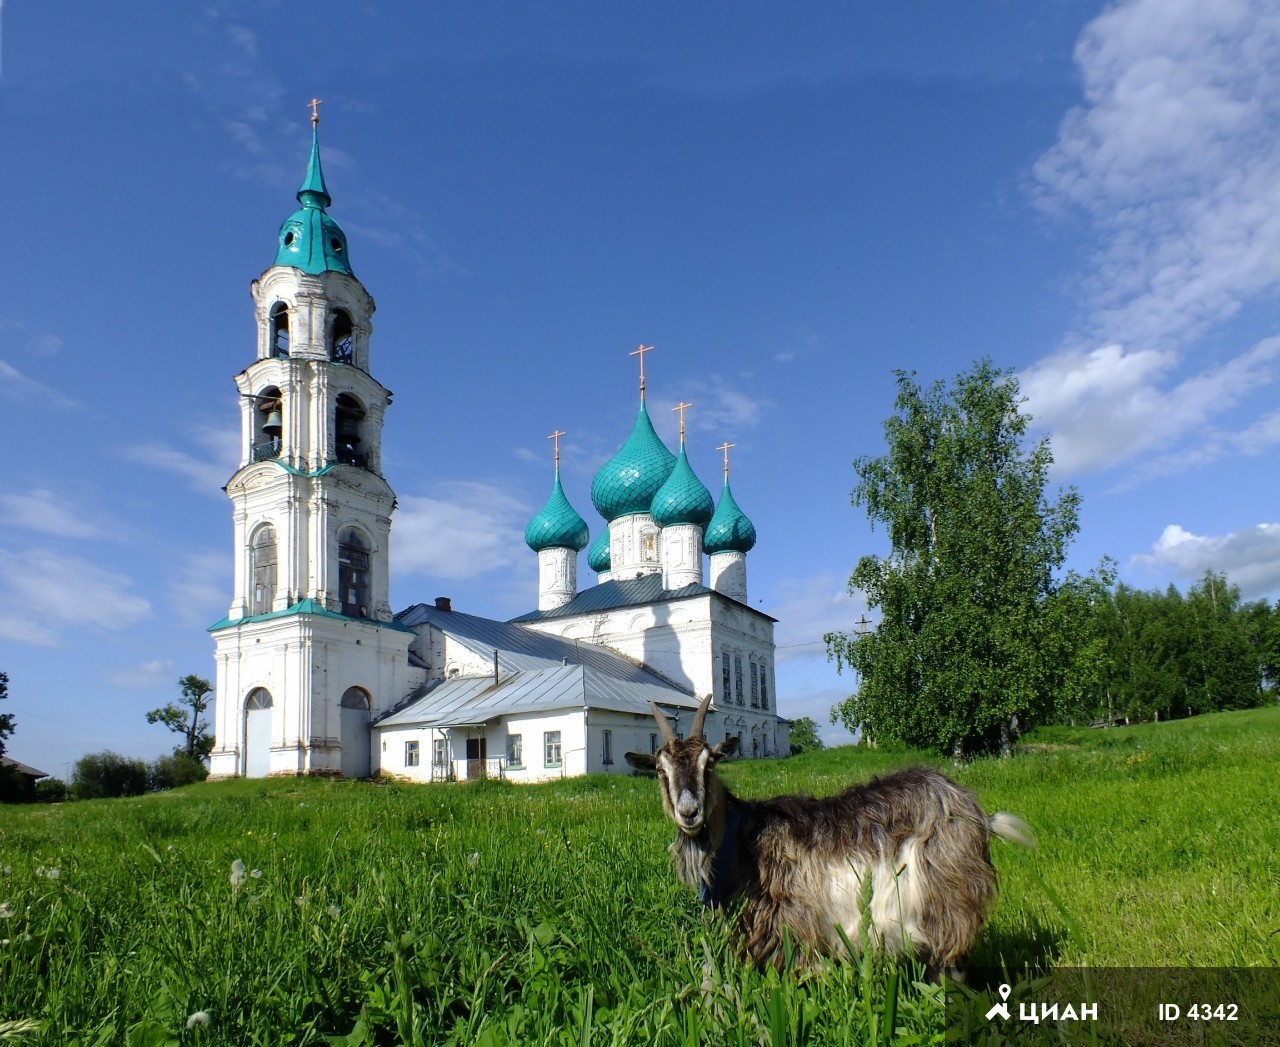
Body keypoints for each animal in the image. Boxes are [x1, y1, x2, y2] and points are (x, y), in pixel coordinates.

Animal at [624, 691, 1034, 977]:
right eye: (660, 770)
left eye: (709, 764)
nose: (689, 812)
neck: (743, 840)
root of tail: (974, 811)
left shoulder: (794, 923)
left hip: (947, 900)